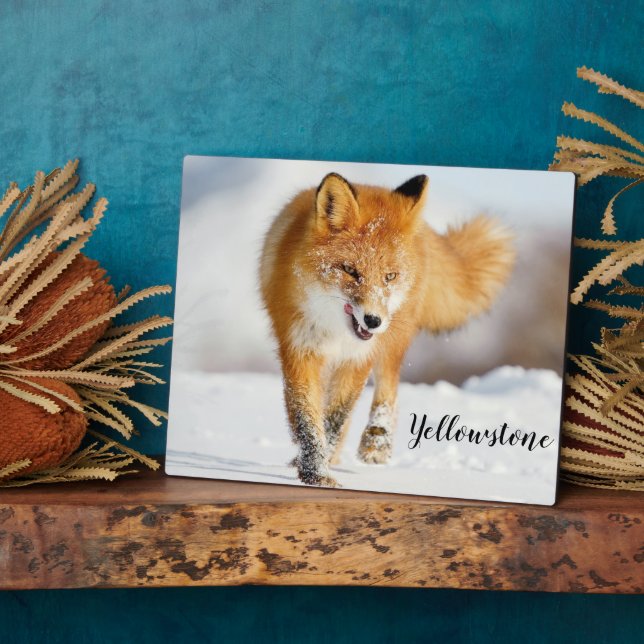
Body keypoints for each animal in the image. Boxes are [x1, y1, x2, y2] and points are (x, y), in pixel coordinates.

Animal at [259, 172, 515, 487]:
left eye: (389, 276)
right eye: (350, 271)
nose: (373, 321)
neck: (335, 332)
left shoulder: (358, 358)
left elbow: (336, 418)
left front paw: (319, 469)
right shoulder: (299, 350)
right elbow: (308, 418)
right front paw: (315, 471)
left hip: (393, 340)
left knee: (388, 387)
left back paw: (376, 443)